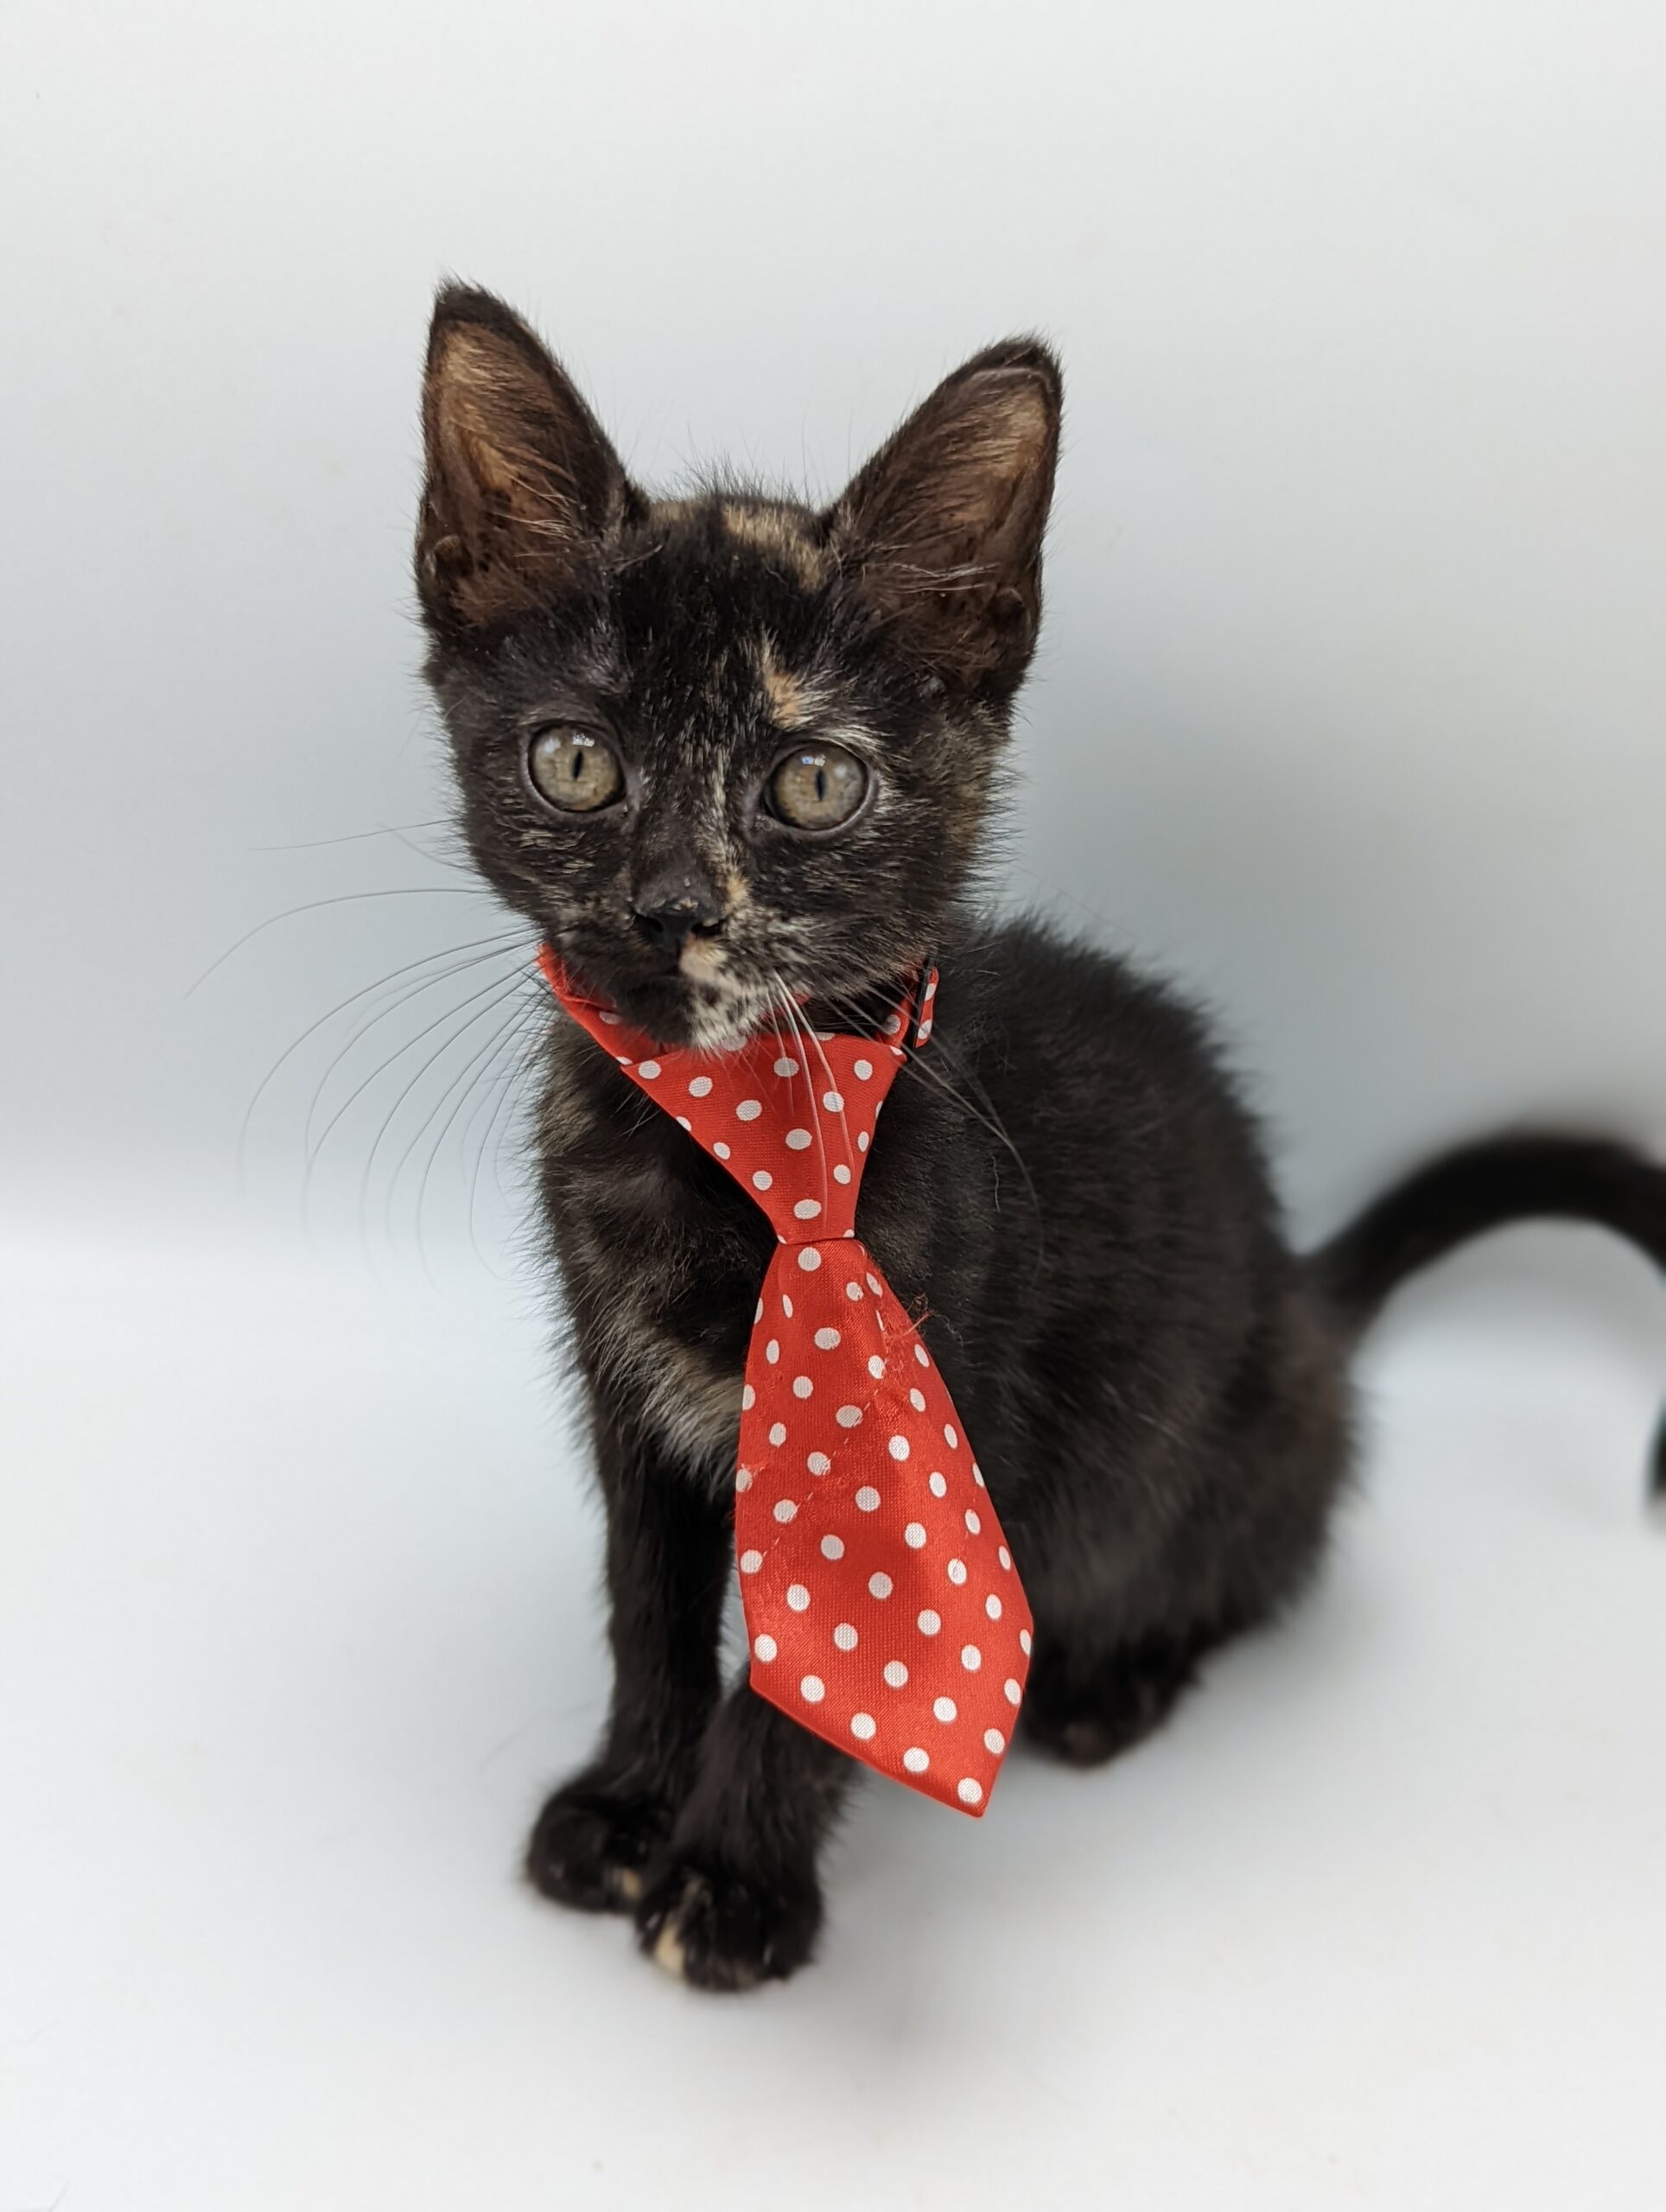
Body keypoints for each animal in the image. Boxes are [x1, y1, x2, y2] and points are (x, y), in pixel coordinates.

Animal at [413, 285, 1663, 1999]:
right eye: (576, 760)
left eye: (812, 781)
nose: (671, 907)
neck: (749, 1150)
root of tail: (1305, 1291)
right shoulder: (627, 1396)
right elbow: (649, 1610)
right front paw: (623, 1811)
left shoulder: (934, 1422)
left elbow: (815, 1672)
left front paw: (729, 1883)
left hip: (1238, 1441)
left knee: (1241, 1570)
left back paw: (1106, 1685)